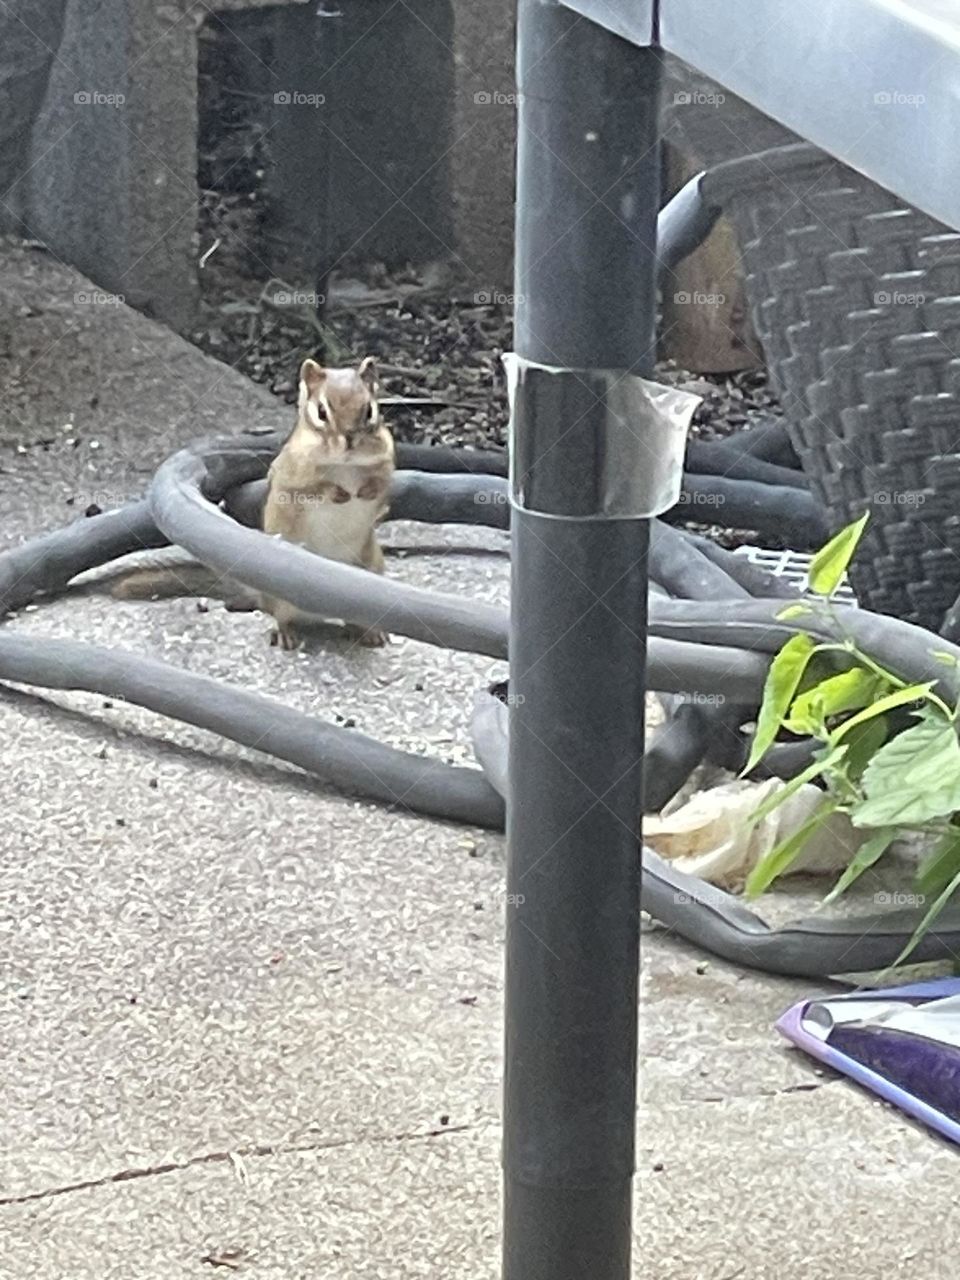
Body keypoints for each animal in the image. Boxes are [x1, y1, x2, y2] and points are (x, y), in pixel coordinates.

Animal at [112, 356, 395, 650]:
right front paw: (338, 492)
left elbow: (383, 484)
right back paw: (285, 634)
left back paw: (370, 632)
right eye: (321, 412)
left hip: (372, 568)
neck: (345, 465)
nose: (350, 440)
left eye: (370, 410)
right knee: (280, 615)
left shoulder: (387, 461)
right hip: (281, 591)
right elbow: (312, 489)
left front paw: (368, 490)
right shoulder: (291, 474)